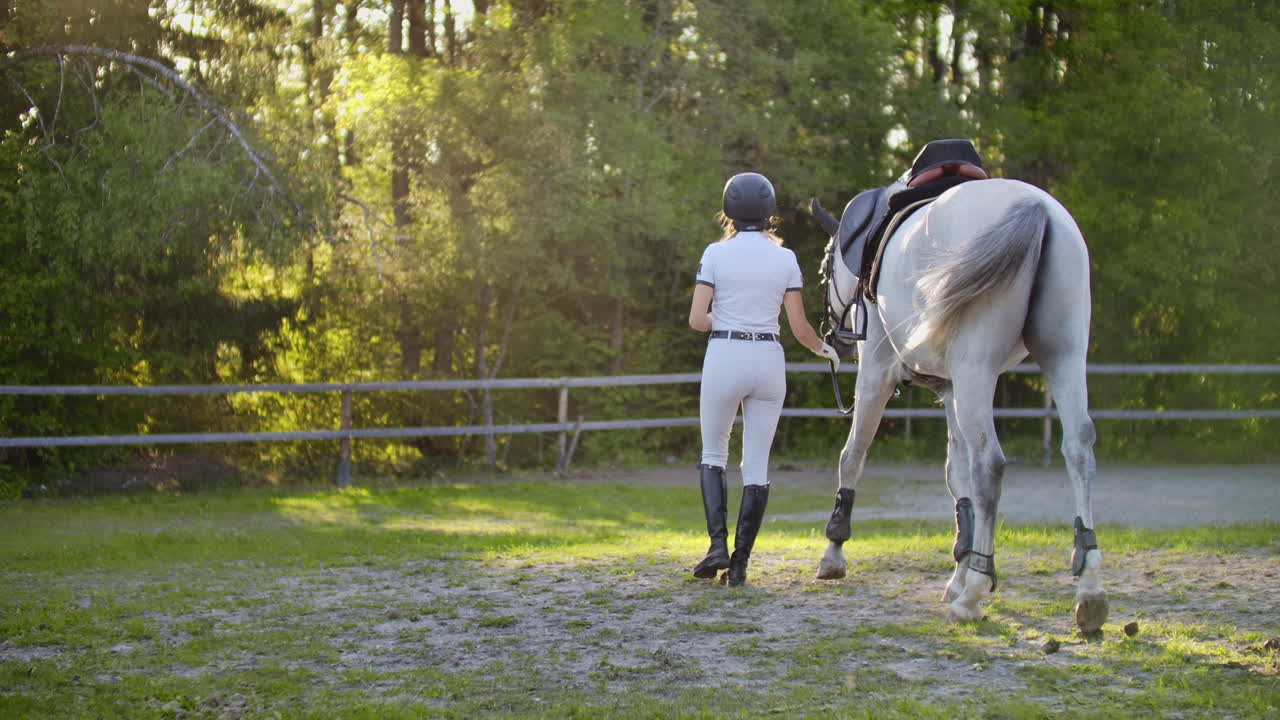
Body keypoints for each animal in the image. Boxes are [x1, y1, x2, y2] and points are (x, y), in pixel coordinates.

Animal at [810, 177, 1109, 633]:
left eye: (825, 268)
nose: (833, 335)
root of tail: (1034, 208)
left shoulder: (877, 371)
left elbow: (853, 455)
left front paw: (834, 550)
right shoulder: (952, 389)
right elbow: (957, 475)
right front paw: (959, 570)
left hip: (976, 370)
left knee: (991, 464)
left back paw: (974, 594)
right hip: (1063, 357)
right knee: (1077, 447)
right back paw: (1088, 586)